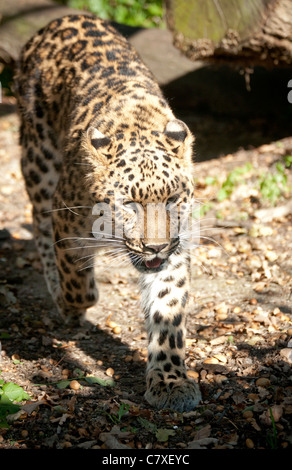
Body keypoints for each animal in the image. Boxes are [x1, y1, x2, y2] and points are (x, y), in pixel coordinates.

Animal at [13, 12, 201, 414]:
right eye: (129, 204)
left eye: (173, 199)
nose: (155, 248)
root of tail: (63, 17)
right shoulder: (67, 218)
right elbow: (77, 282)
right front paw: (71, 303)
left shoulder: (176, 248)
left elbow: (167, 309)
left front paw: (170, 381)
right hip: (39, 161)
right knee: (38, 221)